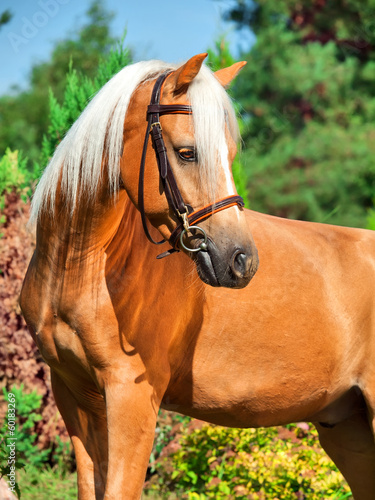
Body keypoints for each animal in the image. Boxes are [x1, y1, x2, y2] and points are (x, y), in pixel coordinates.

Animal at [21, 52, 375, 498]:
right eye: (187, 153)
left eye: (228, 154)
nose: (242, 260)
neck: (80, 267)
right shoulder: (73, 396)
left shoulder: (131, 397)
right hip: (348, 428)